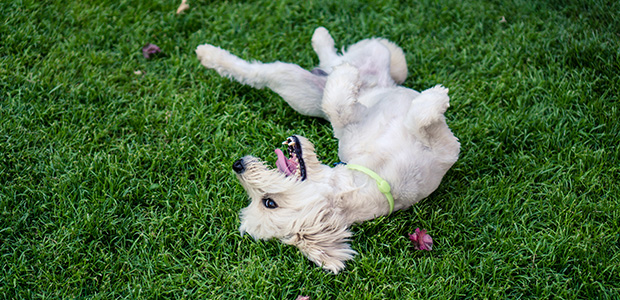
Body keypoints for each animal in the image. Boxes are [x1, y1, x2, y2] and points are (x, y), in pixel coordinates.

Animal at [196, 27, 458, 274]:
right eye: (267, 202)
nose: (237, 165)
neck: (372, 178)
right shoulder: (447, 147)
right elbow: (342, 109)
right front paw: (435, 98)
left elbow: (340, 107)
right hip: (298, 92)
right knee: (260, 74)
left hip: (321, 81)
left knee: (341, 62)